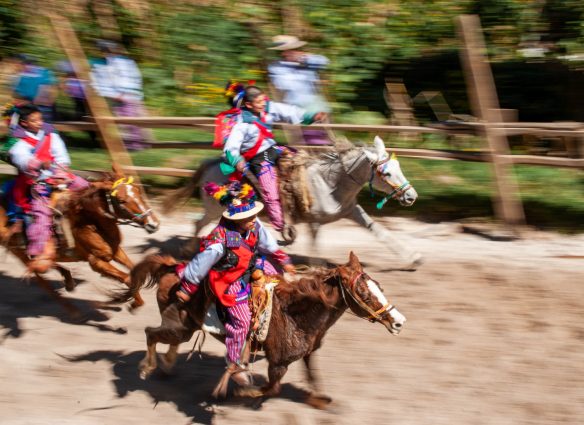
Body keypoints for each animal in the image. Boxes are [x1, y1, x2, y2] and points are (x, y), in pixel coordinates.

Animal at [0, 165, 160, 314]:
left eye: (138, 191)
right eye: (121, 200)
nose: (153, 224)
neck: (89, 221)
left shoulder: (116, 251)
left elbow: (134, 270)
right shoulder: (95, 261)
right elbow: (128, 278)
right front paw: (134, 303)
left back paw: (68, 280)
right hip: (16, 249)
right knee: (39, 273)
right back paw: (72, 309)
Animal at [113, 250, 406, 406]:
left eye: (379, 286)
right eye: (364, 293)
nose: (398, 321)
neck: (295, 314)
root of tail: (172, 268)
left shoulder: (308, 353)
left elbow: (314, 377)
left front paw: (320, 400)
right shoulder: (278, 363)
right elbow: (272, 388)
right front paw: (242, 389)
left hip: (185, 328)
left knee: (168, 341)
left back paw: (167, 365)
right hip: (177, 326)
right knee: (150, 333)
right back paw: (147, 367)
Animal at [168, 136, 420, 268]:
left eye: (398, 167)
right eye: (386, 173)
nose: (411, 196)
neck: (330, 183)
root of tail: (211, 163)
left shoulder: (352, 210)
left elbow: (379, 231)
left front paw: (413, 257)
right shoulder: (315, 222)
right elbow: (315, 248)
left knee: (200, 224)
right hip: (215, 209)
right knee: (200, 224)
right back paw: (188, 250)